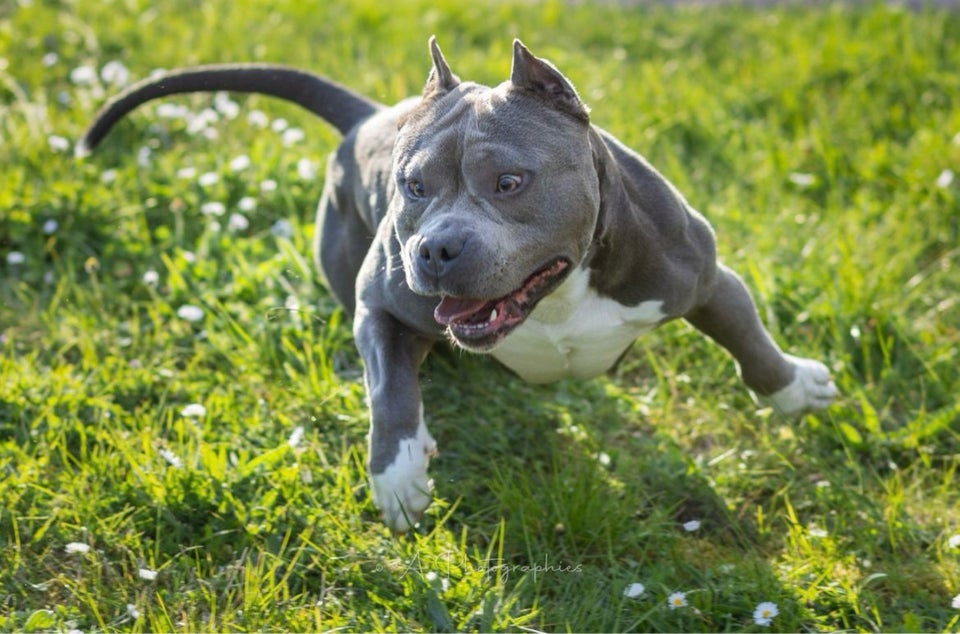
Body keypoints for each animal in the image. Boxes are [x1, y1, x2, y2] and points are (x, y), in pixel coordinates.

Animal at [79, 38, 836, 528]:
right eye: (414, 187)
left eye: (509, 182)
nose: (435, 248)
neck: (556, 296)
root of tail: (367, 116)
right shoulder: (380, 309)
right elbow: (389, 390)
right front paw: (399, 475)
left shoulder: (701, 276)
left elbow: (748, 341)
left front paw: (796, 388)